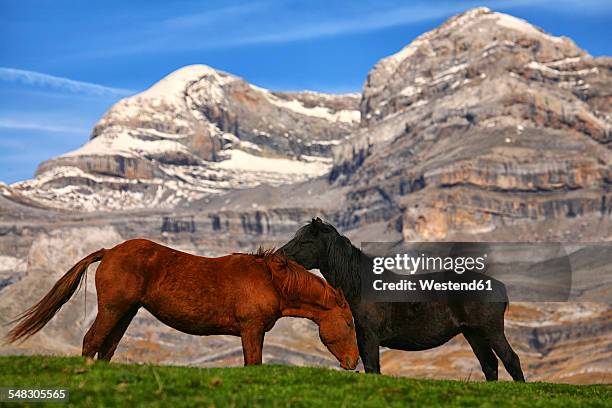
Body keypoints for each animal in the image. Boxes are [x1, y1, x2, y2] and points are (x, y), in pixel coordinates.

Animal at [5, 239, 358, 370]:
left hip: (126, 313)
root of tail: (109, 251)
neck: (270, 279)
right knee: (92, 341)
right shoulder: (251, 329)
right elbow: (253, 363)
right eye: (349, 323)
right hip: (113, 309)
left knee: (107, 348)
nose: (354, 362)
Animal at [280, 218, 524, 380]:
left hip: (491, 330)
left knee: (511, 360)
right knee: (489, 365)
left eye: (305, 241)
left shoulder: (369, 336)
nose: (280, 256)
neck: (360, 285)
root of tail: (499, 286)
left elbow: (372, 368)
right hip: (473, 333)